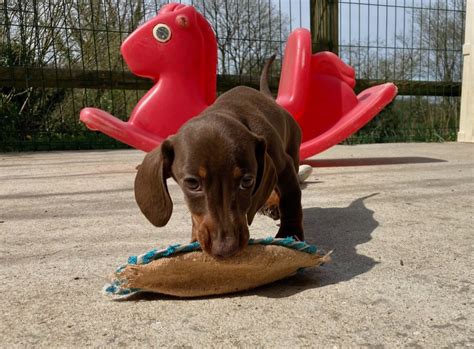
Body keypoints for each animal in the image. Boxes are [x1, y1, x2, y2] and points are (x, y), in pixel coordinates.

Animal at [134, 57, 304, 258]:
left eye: (247, 181)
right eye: (192, 183)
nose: (225, 249)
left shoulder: (284, 167)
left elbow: (291, 199)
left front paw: (290, 234)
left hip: (293, 150)